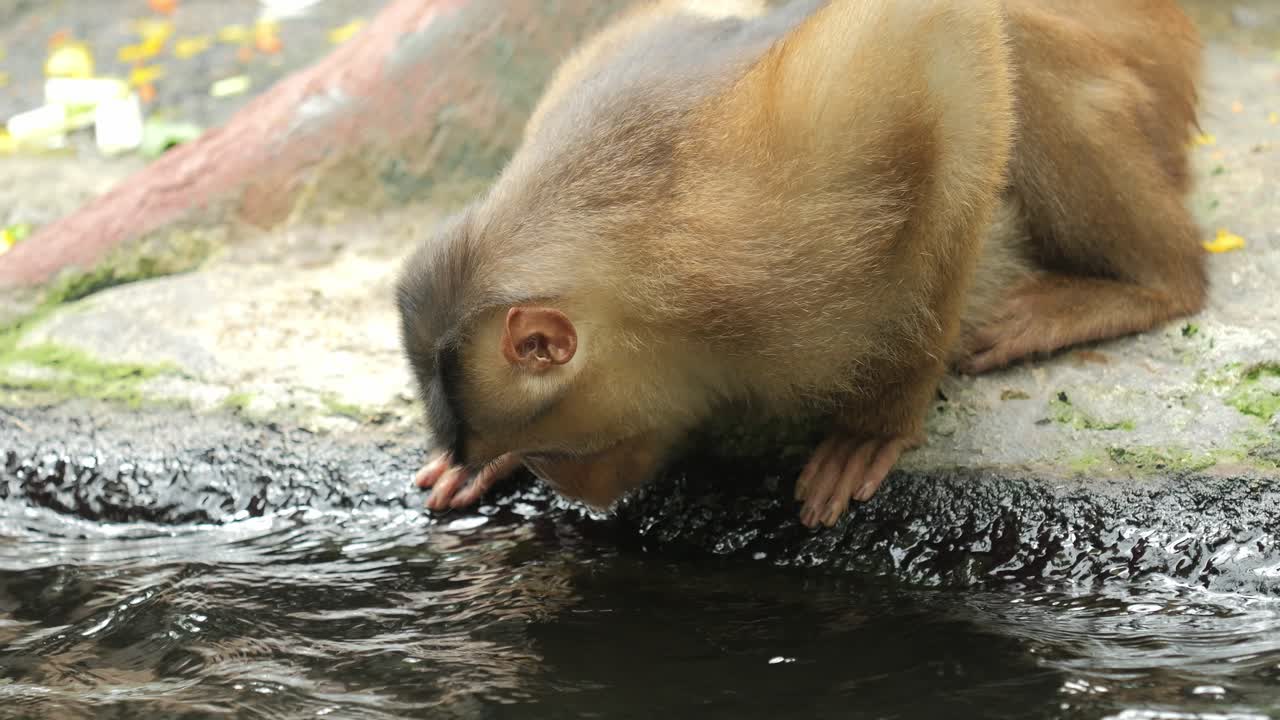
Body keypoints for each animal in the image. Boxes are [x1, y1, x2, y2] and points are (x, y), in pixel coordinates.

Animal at [396, 0, 1206, 529]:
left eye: (552, 448)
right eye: (531, 453)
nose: (569, 488)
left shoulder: (764, 215)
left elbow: (948, 43)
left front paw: (878, 422)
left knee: (1016, 41)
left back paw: (1156, 284)